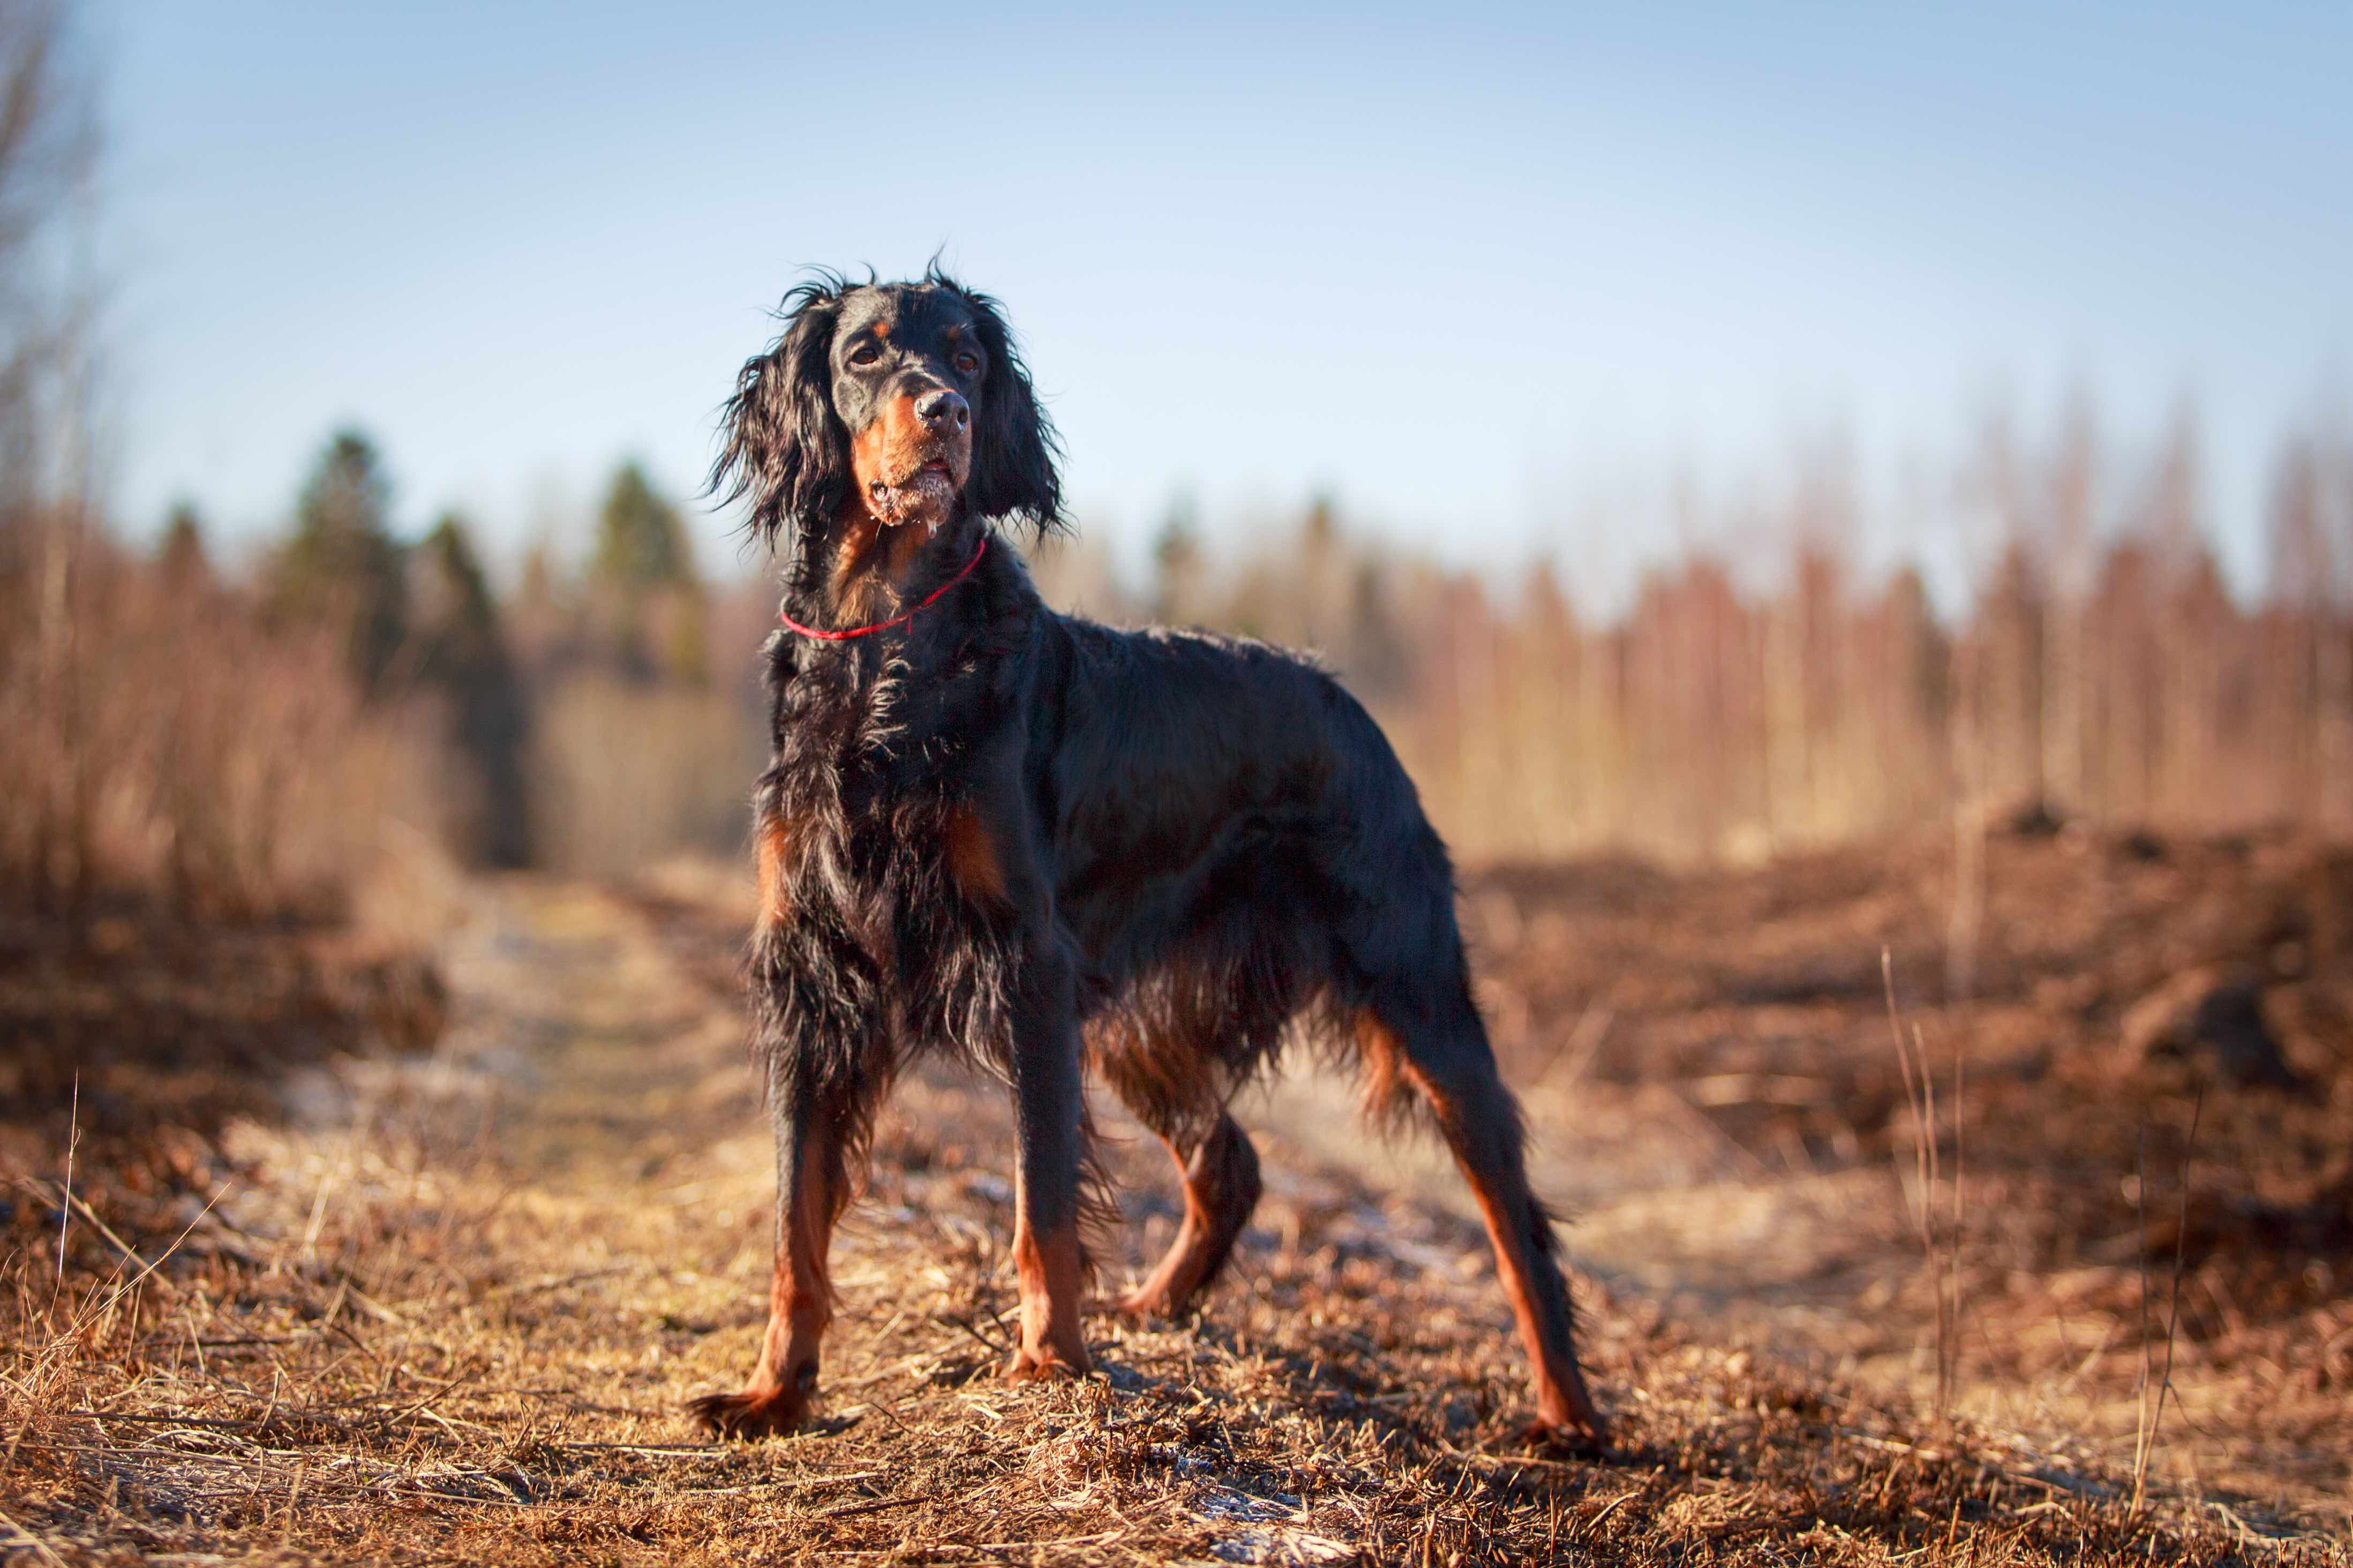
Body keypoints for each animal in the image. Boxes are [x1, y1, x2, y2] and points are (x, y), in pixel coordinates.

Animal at [682, 270, 1600, 1448]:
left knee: (1513, 1216)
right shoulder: (811, 970)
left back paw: (1569, 1414)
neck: (887, 646)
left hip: (1413, 989)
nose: (948, 413)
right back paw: (1157, 1306)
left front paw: (1048, 1365)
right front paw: (775, 1392)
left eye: (969, 358)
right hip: (1130, 1027)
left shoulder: (1028, 965)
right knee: (1231, 1163)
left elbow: (1039, 1198)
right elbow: (795, 1223)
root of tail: (1343, 697)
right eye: (865, 353)